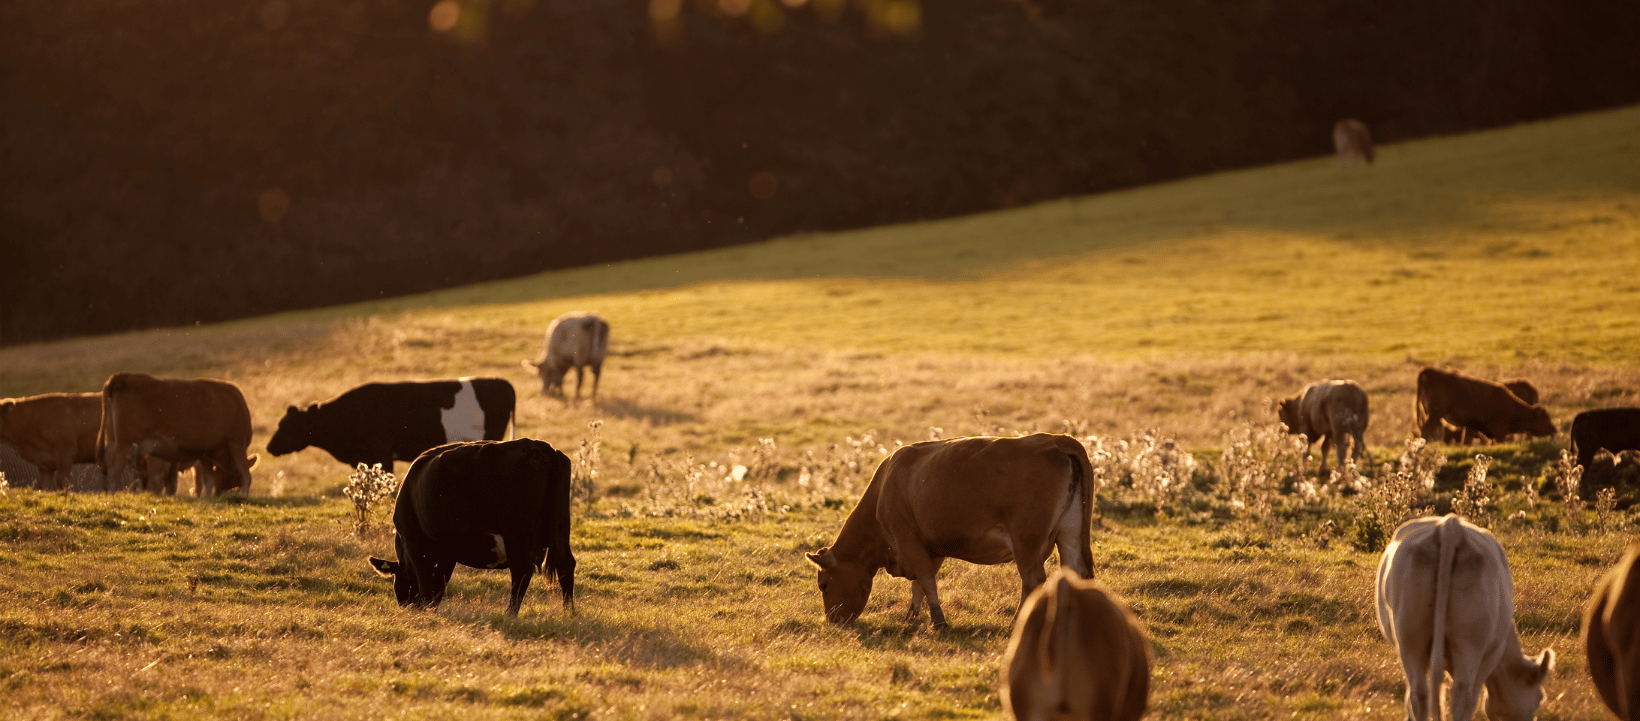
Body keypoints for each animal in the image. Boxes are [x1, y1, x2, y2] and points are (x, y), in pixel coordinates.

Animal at [96, 372, 258, 496]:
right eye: (233, 480)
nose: (220, 494)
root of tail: (124, 376)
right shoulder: (236, 443)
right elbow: (246, 474)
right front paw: (244, 496)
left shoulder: (205, 455)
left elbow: (207, 480)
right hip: (124, 444)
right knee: (114, 471)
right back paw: (113, 495)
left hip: (112, 441)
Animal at [367, 439, 576, 617]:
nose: (407, 606)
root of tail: (541, 446)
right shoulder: (447, 551)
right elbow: (439, 581)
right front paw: (432, 609)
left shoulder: (415, 542)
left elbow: (426, 580)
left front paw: (427, 609)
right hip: (560, 527)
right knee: (565, 564)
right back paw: (568, 612)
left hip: (516, 535)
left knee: (521, 570)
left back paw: (510, 614)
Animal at [805, 434, 1095, 630]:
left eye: (823, 584)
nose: (833, 621)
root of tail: (1054, 440)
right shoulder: (932, 547)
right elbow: (919, 586)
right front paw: (911, 617)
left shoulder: (908, 539)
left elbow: (925, 581)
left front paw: (938, 622)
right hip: (1069, 535)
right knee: (1073, 572)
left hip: (1027, 542)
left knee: (1032, 581)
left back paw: (1017, 622)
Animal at [1376, 515, 1554, 721]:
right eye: (1539, 698)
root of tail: (1450, 526)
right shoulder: (1490, 656)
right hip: (1469, 644)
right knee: (1463, 696)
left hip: (1410, 638)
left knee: (1419, 693)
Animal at [1416, 367, 1555, 444]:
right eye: (1544, 419)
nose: (1554, 430)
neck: (1512, 406)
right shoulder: (1499, 433)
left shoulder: (1471, 427)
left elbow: (1466, 441)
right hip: (1435, 414)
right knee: (1426, 430)